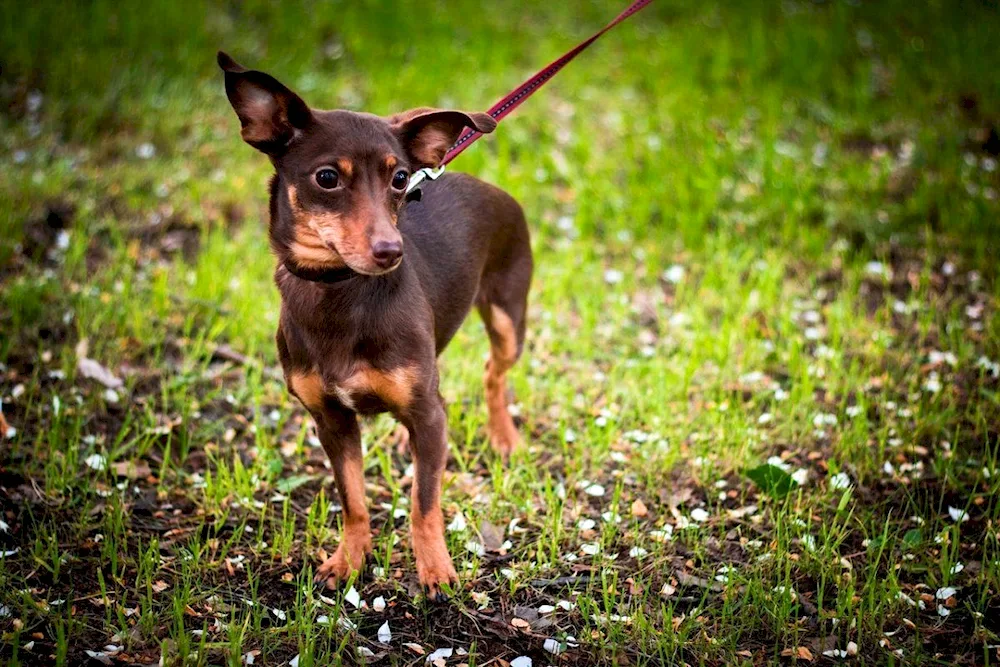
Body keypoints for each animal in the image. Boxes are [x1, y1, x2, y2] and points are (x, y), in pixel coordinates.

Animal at [218, 49, 532, 596]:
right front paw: (349, 559)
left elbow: (424, 504)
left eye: (400, 179)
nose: (391, 250)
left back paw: (503, 436)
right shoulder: (331, 420)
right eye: (327, 178)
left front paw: (435, 570)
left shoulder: (426, 416)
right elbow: (354, 500)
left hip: (508, 319)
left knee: (494, 372)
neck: (339, 290)